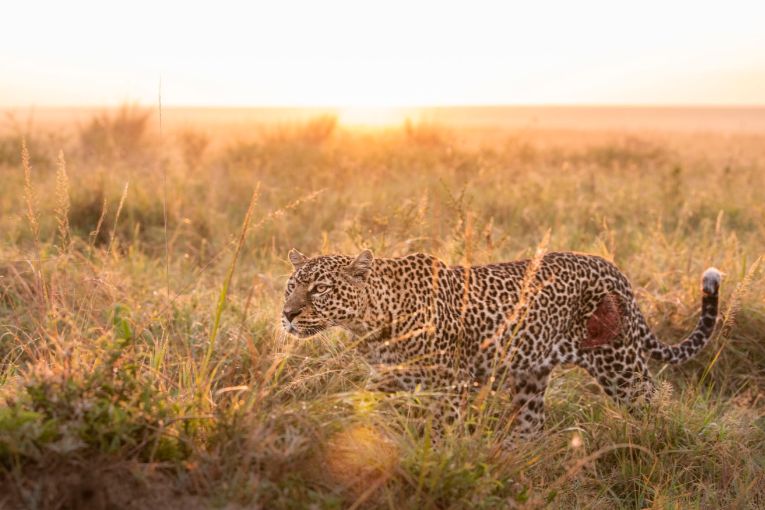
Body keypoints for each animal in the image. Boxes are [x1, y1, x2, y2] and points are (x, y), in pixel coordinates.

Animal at [282, 248, 721, 440]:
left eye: (320, 289)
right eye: (292, 285)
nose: (287, 314)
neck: (370, 320)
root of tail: (612, 268)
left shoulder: (452, 385)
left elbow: (441, 434)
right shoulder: (389, 378)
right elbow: (365, 409)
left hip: (620, 365)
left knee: (656, 401)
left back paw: (661, 448)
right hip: (531, 373)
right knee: (531, 424)